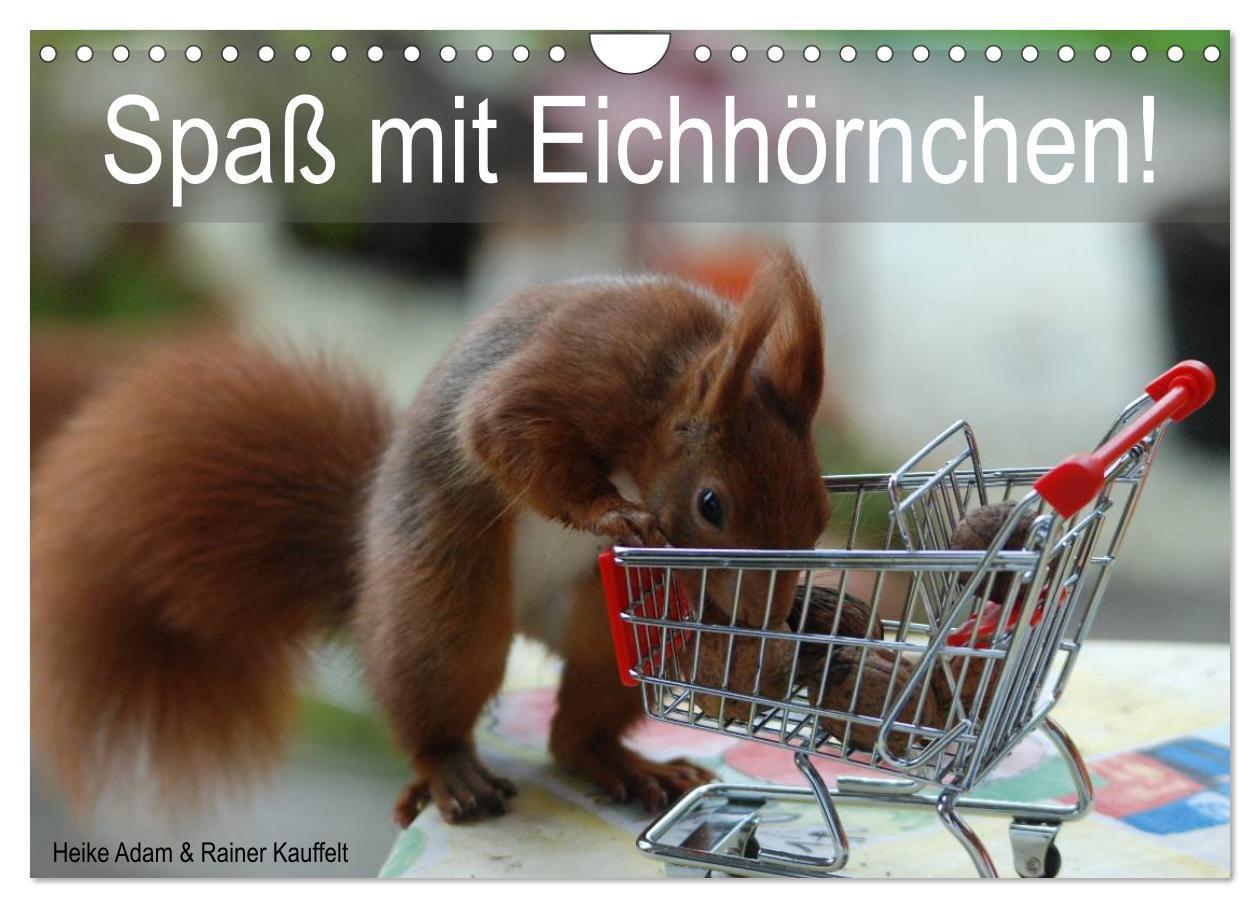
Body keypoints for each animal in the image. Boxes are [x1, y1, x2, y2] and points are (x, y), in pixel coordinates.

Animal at [31, 249, 832, 828]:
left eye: (823, 511)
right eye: (711, 504)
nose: (765, 619)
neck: (668, 380)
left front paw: (756, 666)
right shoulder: (584, 367)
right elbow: (504, 428)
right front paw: (611, 514)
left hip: (607, 636)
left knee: (577, 731)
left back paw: (630, 767)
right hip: (444, 602)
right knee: (436, 697)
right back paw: (454, 772)